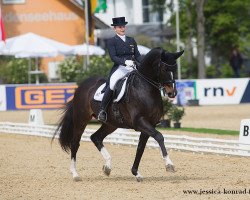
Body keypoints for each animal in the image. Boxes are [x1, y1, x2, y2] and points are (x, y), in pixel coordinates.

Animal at [52, 47, 184, 182]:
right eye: (163, 69)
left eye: (175, 69)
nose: (172, 93)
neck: (145, 88)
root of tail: (80, 87)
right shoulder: (140, 121)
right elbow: (159, 136)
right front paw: (169, 164)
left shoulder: (149, 124)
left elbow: (140, 148)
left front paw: (136, 173)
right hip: (81, 120)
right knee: (75, 143)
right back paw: (75, 174)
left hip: (111, 124)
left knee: (96, 137)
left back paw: (107, 167)